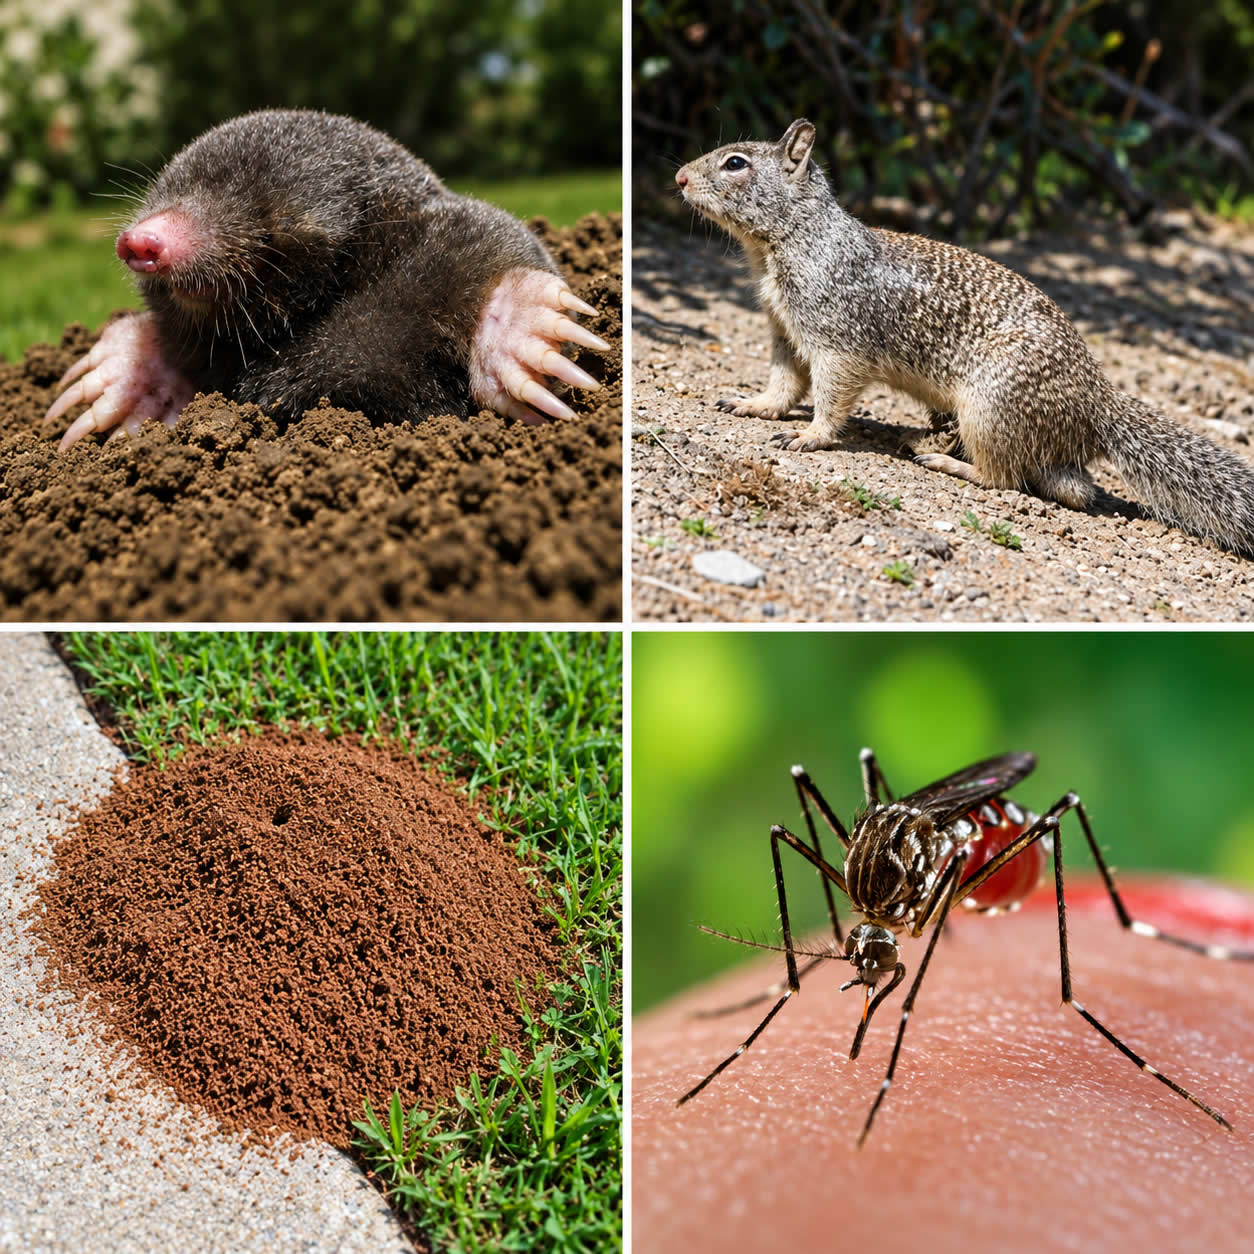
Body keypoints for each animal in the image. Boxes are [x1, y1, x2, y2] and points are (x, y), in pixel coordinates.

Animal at [676, 118, 1254, 556]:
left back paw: (944, 460)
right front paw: (752, 405)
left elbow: (832, 395)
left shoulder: (837, 340)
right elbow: (782, 385)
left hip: (990, 408)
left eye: (735, 163)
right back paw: (926, 441)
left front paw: (811, 436)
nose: (679, 177)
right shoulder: (785, 333)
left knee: (1005, 478)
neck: (791, 242)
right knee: (1071, 489)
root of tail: (1098, 407)